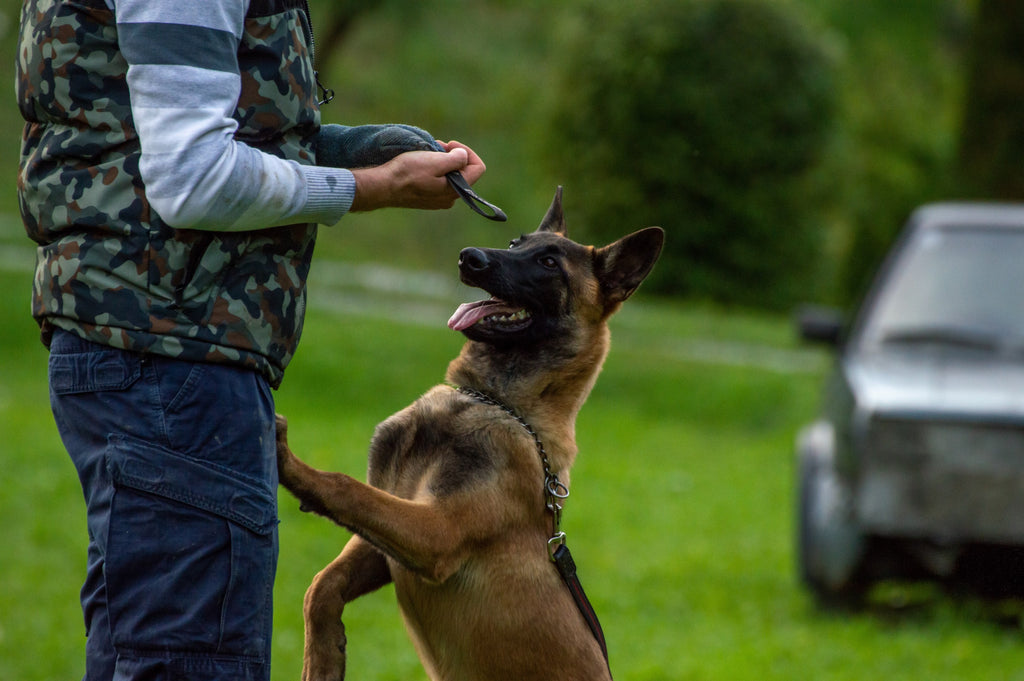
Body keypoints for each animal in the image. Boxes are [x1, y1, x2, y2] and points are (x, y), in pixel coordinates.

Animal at [276, 188, 667, 679]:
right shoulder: (388, 543)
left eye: (549, 262)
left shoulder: (437, 533)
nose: (469, 257)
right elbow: (322, 583)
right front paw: (323, 656)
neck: (491, 400)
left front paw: (287, 461)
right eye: (516, 242)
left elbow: (345, 487)